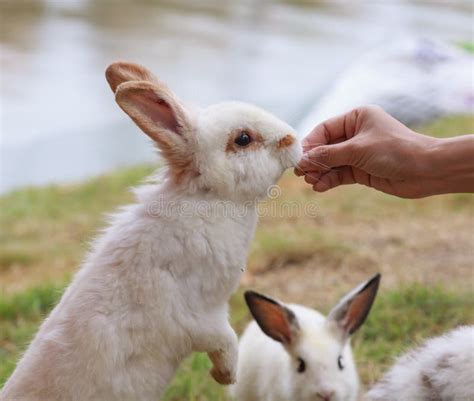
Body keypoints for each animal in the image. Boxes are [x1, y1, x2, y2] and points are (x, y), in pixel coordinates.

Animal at [0, 61, 302, 400]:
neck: (207, 198)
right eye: (243, 139)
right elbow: (225, 342)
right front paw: (224, 376)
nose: (293, 138)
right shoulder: (200, 317)